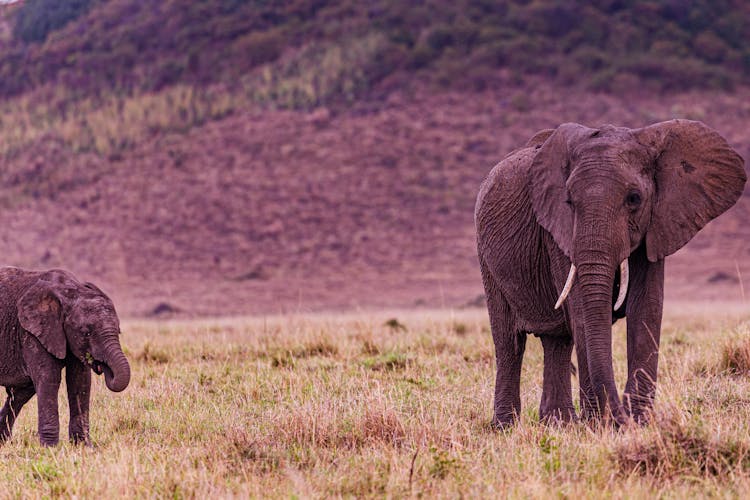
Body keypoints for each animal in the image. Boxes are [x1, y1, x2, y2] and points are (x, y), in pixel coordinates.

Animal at [0, 268, 131, 448]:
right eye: (86, 333)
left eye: (119, 331)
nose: (103, 367)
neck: (70, 291)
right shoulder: (31, 332)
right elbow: (49, 378)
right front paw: (50, 448)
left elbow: (80, 381)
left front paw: (83, 446)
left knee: (21, 393)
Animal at [478, 119, 748, 428]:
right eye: (569, 201)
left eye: (634, 199)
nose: (620, 417)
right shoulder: (558, 231)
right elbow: (582, 313)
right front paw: (601, 425)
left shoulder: (658, 223)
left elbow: (647, 308)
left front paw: (639, 421)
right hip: (487, 262)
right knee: (510, 343)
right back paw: (506, 427)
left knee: (557, 341)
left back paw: (559, 424)